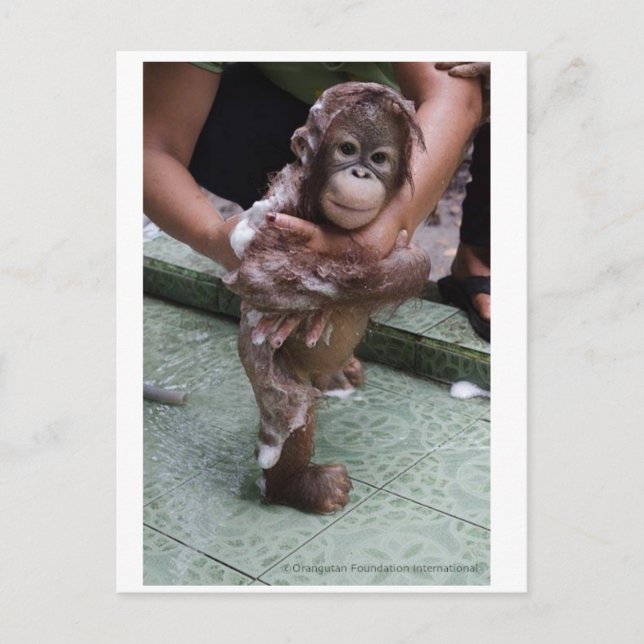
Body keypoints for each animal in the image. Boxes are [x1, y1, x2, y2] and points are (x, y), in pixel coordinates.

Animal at [223, 82, 432, 514]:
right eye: (347, 150)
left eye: (379, 158)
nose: (360, 171)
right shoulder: (279, 206)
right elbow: (260, 272)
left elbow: (408, 259)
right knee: (291, 411)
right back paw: (298, 486)